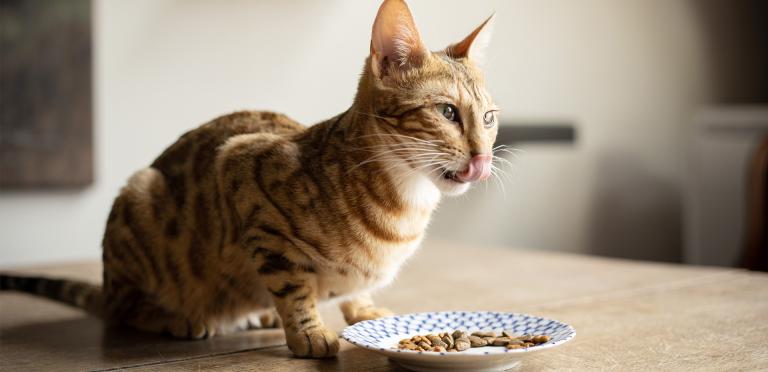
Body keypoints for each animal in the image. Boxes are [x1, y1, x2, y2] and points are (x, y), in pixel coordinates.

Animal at [0, 0, 498, 360]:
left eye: (490, 118)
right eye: (447, 112)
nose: (482, 158)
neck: (404, 202)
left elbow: (353, 291)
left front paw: (360, 307)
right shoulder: (244, 176)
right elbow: (293, 286)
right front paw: (309, 331)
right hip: (138, 201)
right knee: (122, 309)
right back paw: (177, 316)